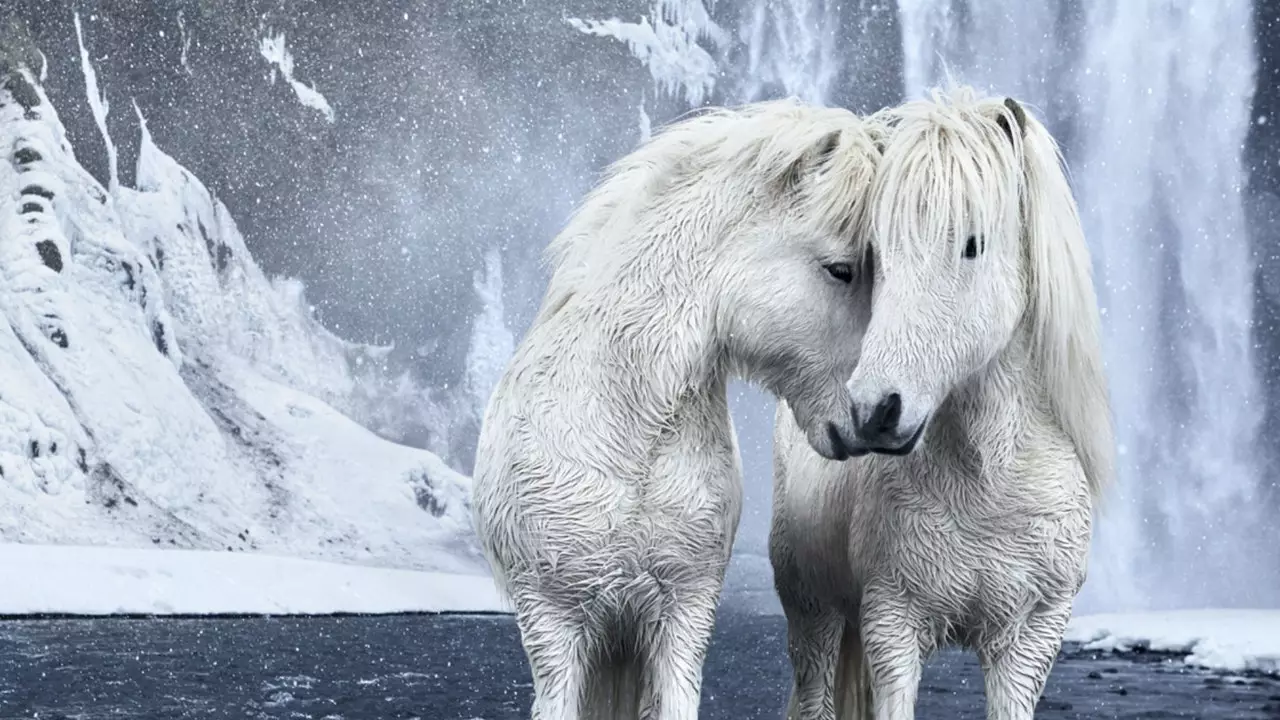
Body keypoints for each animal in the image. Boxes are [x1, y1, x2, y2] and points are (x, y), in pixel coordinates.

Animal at [762, 85, 1116, 717]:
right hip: (813, 615)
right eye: (876, 252)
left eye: (972, 244)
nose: (874, 411)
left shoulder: (1029, 642)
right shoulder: (892, 625)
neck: (989, 488)